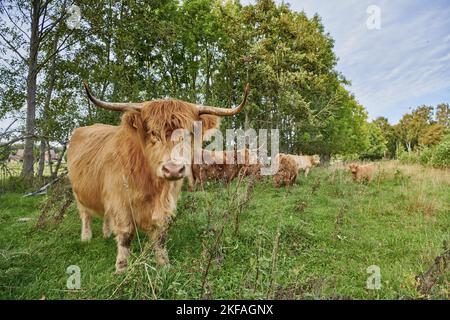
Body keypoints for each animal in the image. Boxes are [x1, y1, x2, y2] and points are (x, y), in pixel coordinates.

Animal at [67, 81, 250, 272]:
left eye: (188, 134)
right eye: (154, 133)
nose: (173, 169)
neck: (150, 183)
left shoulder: (164, 204)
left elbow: (160, 236)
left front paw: (164, 264)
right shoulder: (119, 200)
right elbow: (125, 235)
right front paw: (121, 268)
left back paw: (106, 233)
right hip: (78, 193)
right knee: (85, 214)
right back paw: (86, 237)